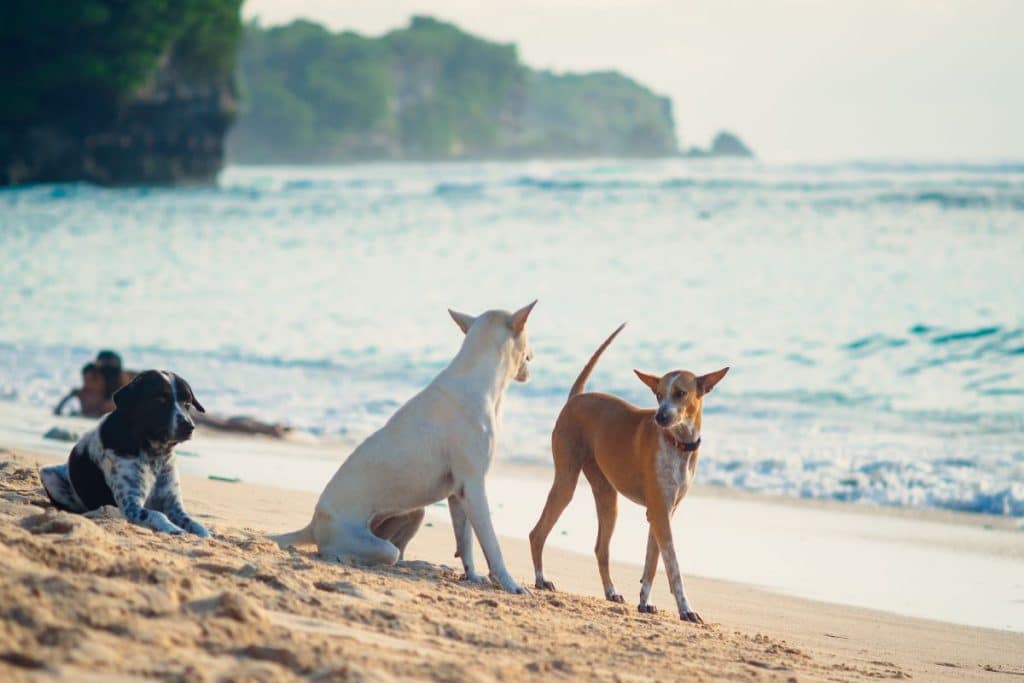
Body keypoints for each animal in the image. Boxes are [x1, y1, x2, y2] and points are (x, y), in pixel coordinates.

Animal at [40, 370, 212, 536]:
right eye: (160, 400)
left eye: (187, 403)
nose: (189, 426)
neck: (156, 454)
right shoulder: (131, 505)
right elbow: (157, 514)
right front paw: (173, 528)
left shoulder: (173, 505)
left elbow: (194, 522)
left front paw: (205, 533)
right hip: (48, 474)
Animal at [272, 301, 544, 593]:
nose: (534, 355)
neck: (479, 377)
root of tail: (314, 523)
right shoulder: (473, 486)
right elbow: (492, 544)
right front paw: (510, 584)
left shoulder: (459, 493)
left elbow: (466, 542)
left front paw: (472, 575)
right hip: (370, 543)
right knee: (374, 554)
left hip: (415, 513)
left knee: (400, 554)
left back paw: (419, 565)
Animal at [528, 325, 729, 626]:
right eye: (658, 395)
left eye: (680, 393)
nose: (660, 417)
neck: (677, 443)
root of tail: (576, 398)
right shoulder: (660, 513)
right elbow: (673, 566)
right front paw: (685, 608)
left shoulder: (662, 513)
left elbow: (652, 563)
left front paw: (644, 602)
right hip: (566, 482)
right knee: (537, 533)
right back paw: (541, 579)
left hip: (608, 499)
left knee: (601, 548)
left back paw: (611, 591)